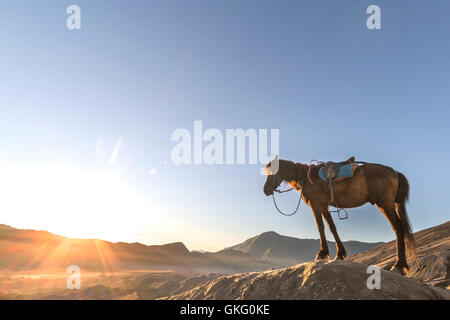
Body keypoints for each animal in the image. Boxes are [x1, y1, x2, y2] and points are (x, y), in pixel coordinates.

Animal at [264, 156, 418, 274]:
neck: (306, 178)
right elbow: (332, 227)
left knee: (398, 228)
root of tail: (395, 172)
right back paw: (402, 265)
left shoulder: (316, 205)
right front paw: (340, 254)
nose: (265, 190)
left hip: (385, 205)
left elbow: (320, 228)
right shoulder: (324, 206)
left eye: (272, 172)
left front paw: (321, 254)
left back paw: (398, 265)